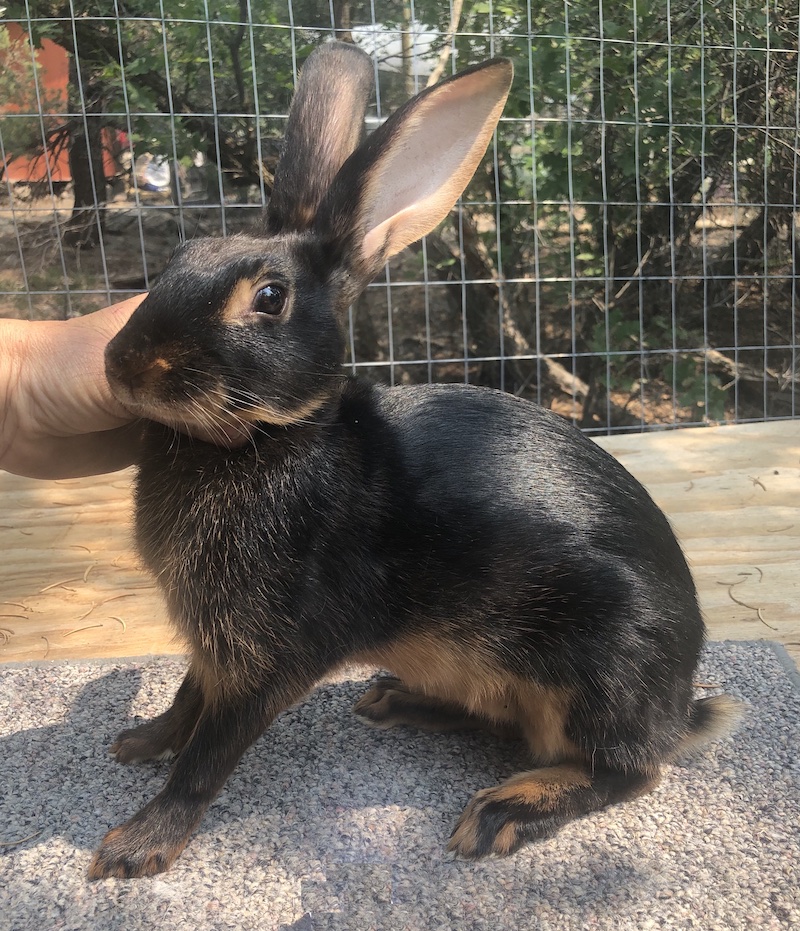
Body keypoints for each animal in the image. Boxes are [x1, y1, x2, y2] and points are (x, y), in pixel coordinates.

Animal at [94, 41, 741, 879]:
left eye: (268, 297)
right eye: (182, 255)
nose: (121, 363)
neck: (272, 436)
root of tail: (679, 708)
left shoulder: (268, 652)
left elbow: (213, 749)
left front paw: (136, 845)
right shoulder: (215, 644)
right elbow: (187, 698)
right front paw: (139, 741)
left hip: (598, 664)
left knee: (628, 769)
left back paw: (500, 810)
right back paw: (394, 699)